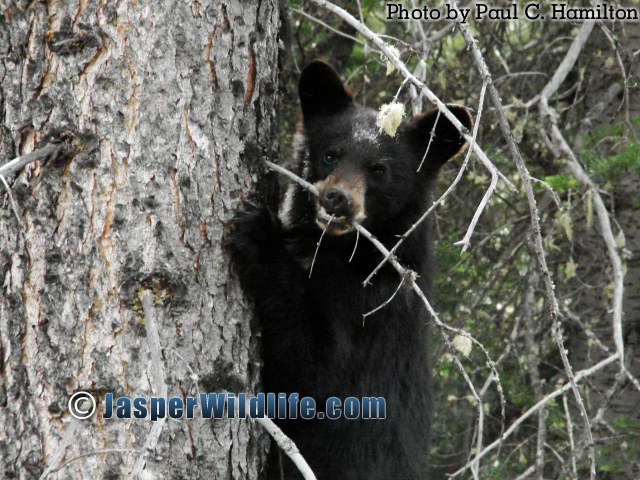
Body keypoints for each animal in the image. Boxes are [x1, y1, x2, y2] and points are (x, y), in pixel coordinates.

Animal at [227, 60, 472, 480]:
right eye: (330, 155)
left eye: (379, 170)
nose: (336, 199)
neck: (341, 251)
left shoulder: (371, 307)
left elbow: (315, 373)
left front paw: (260, 236)